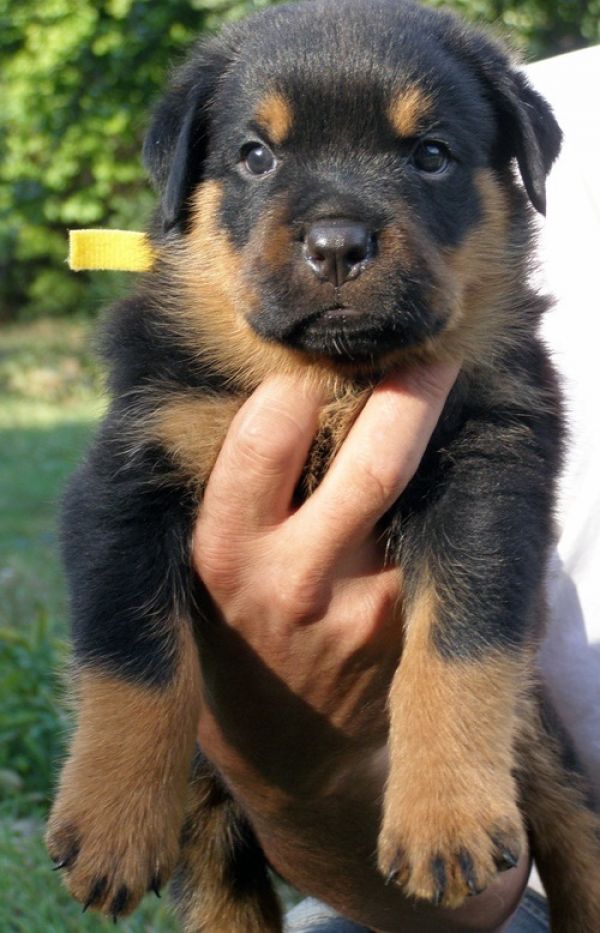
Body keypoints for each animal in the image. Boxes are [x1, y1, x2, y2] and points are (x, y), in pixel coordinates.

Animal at [46, 1, 600, 930]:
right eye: (255, 156)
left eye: (430, 155)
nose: (338, 244)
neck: (339, 379)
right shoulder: (129, 476)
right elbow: (130, 653)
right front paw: (111, 818)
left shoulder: (493, 472)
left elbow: (458, 643)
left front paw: (444, 813)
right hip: (214, 820)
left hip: (541, 739)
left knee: (575, 825)